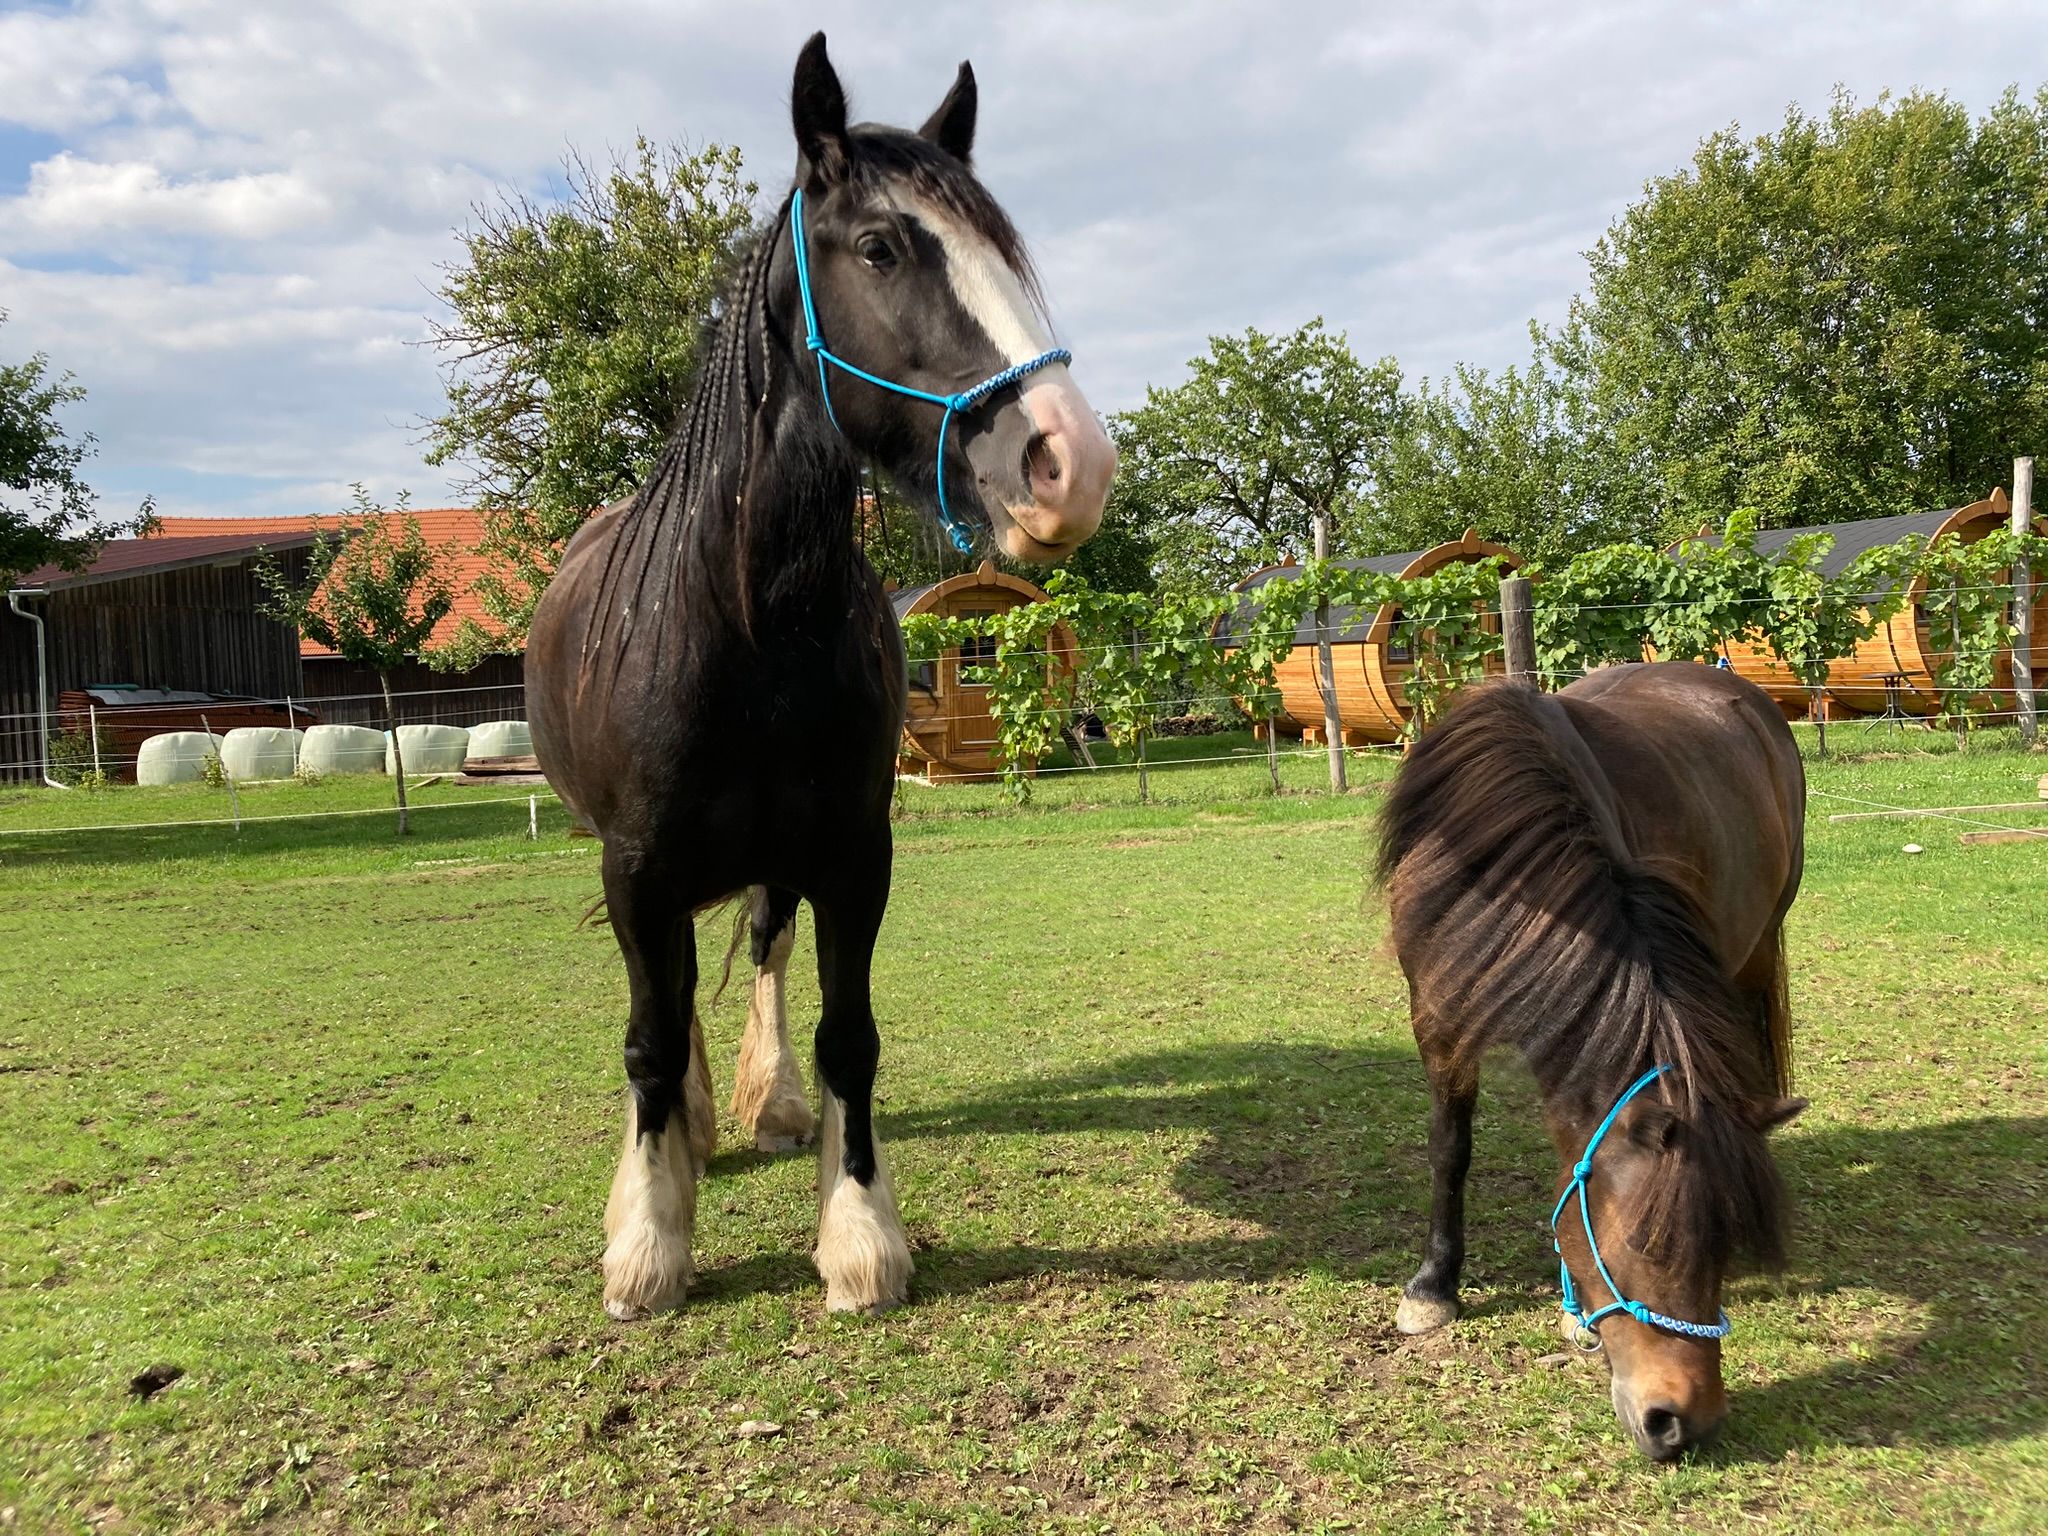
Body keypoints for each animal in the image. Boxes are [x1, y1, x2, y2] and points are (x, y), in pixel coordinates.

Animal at [526, 34, 1115, 1322]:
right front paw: (648, 1241)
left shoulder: (852, 854)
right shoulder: (634, 867)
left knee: (754, 950)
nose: (1069, 462)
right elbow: (648, 1037)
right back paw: (690, 1132)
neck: (743, 624)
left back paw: (767, 1105)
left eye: (1007, 254)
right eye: (883, 247)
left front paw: (857, 1233)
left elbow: (850, 1033)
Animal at [1375, 664, 1809, 1461]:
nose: (1684, 1423)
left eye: (1721, 1245)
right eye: (1648, 1244)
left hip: (1759, 945)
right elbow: (1450, 1147)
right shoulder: (1438, 1012)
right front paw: (1433, 1288)